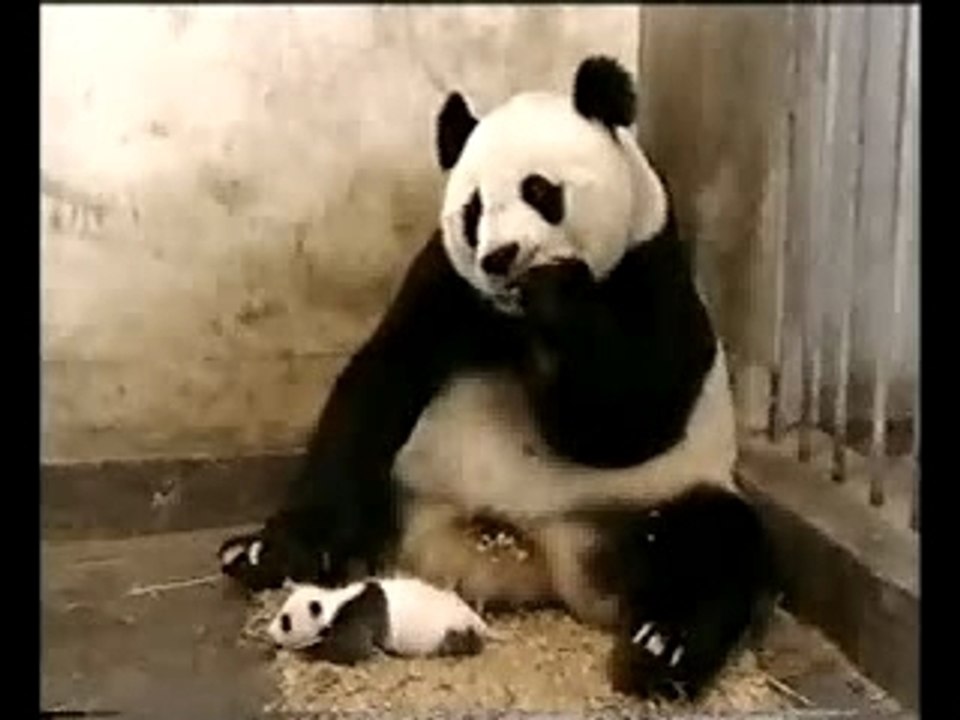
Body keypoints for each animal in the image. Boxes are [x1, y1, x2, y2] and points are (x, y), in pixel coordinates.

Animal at [219, 56, 776, 701]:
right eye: (474, 210)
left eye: (541, 191)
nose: (501, 257)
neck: (516, 319)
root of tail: (529, 559)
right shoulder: (446, 282)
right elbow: (381, 380)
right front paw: (277, 548)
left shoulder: (650, 269)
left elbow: (627, 421)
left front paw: (558, 295)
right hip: (409, 485)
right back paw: (258, 557)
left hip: (645, 503)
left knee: (716, 543)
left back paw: (660, 648)